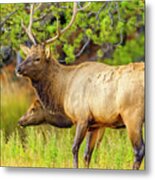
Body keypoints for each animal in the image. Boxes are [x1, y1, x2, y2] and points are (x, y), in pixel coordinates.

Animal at [16, 2, 145, 169]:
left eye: (37, 58)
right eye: (27, 55)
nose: (18, 69)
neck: (63, 91)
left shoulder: (82, 117)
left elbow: (74, 149)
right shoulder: (96, 123)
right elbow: (87, 154)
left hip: (132, 114)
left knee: (139, 150)